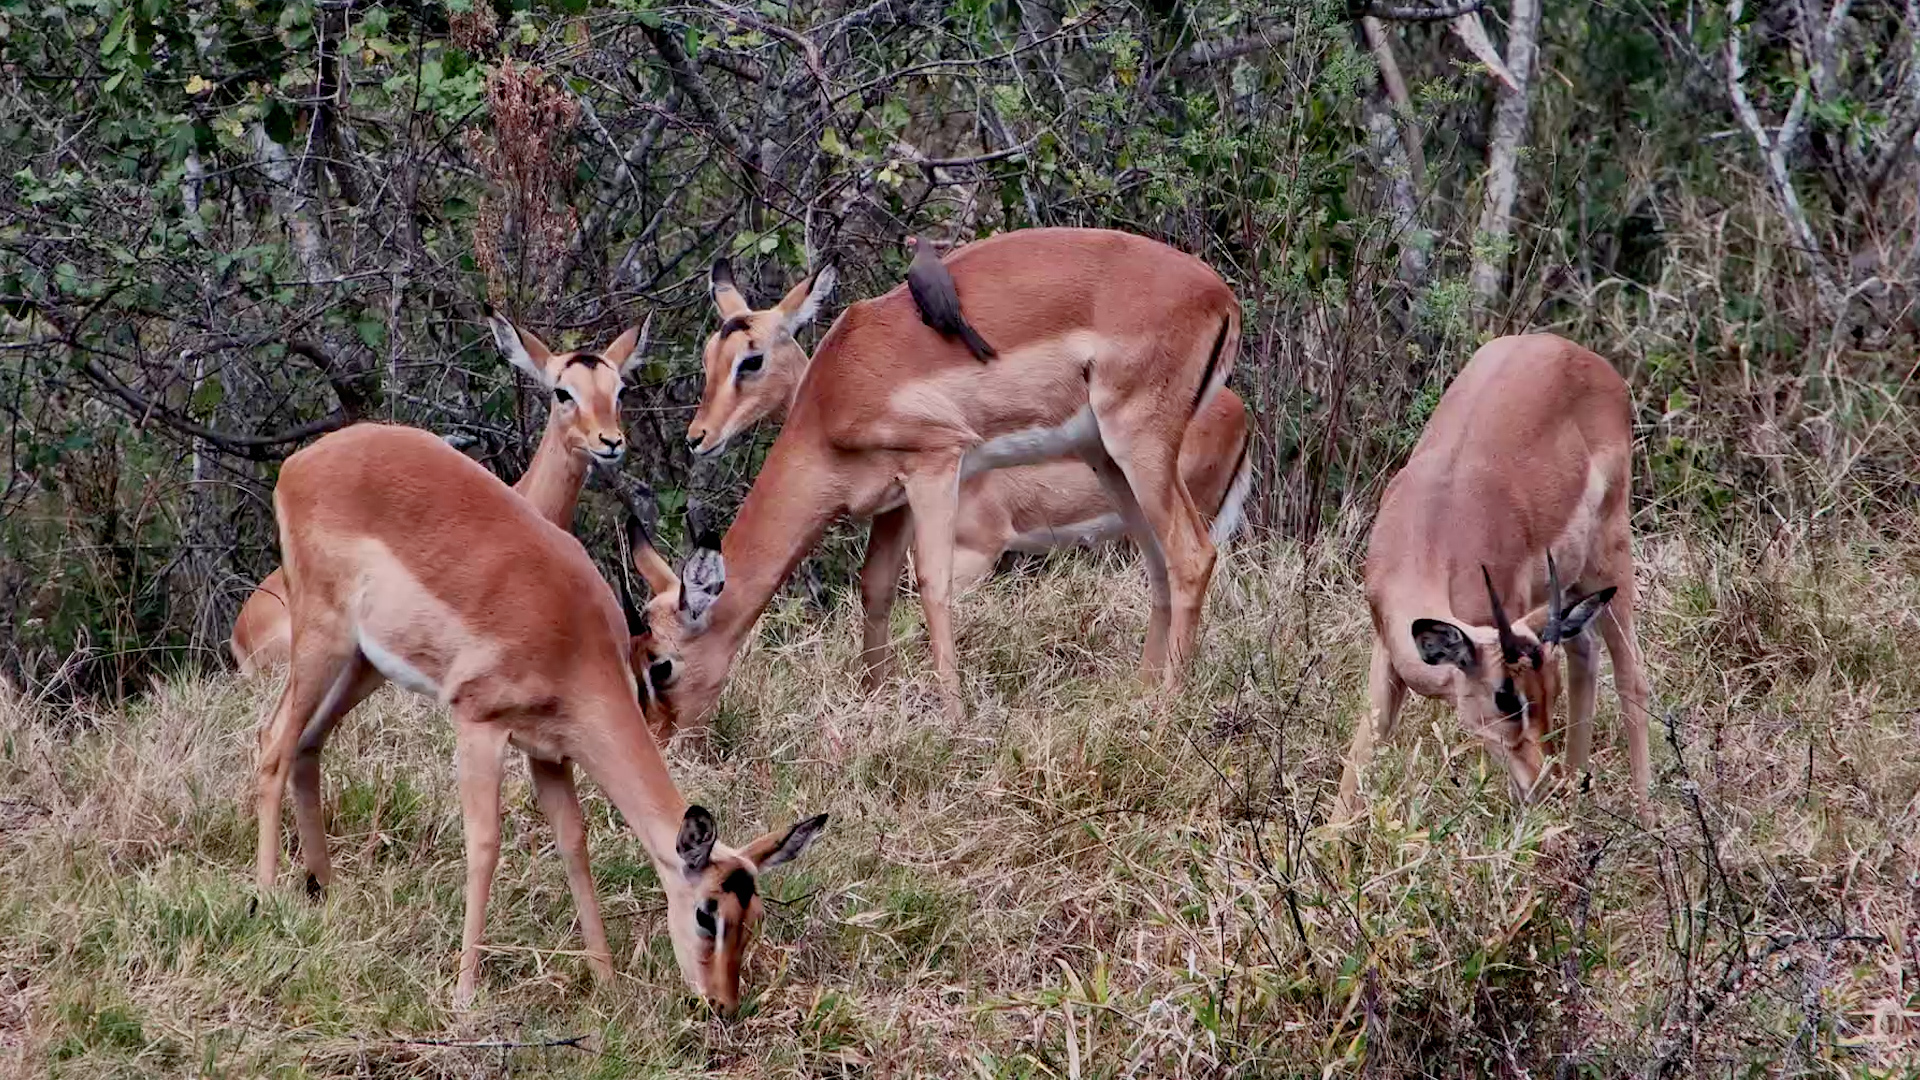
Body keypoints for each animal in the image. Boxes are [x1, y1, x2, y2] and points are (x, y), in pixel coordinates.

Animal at [254, 423, 826, 1012]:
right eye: (707, 914)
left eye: (754, 915)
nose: (721, 1005)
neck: (572, 639)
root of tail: (303, 461)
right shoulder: (479, 725)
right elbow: (485, 844)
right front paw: (464, 993)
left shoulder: (550, 753)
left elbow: (574, 845)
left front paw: (606, 981)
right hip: (322, 641)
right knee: (272, 742)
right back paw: (267, 898)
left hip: (362, 664)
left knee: (306, 744)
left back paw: (323, 890)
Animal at [654, 226, 1241, 731]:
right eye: (709, 356)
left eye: (661, 664)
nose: (666, 737)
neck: (834, 392)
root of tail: (1221, 295)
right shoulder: (892, 500)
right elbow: (876, 588)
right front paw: (873, 700)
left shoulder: (936, 465)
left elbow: (931, 586)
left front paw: (955, 720)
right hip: (1110, 463)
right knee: (1159, 564)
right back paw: (1139, 696)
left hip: (1139, 451)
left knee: (1192, 556)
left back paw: (1167, 709)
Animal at [1334, 333, 1651, 821]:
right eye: (1507, 697)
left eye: (1546, 693)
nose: (1545, 784)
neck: (1430, 534)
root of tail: (1580, 354)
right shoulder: (1386, 648)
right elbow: (1363, 751)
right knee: (1584, 648)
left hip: (1609, 556)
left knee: (1632, 676)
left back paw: (1647, 815)